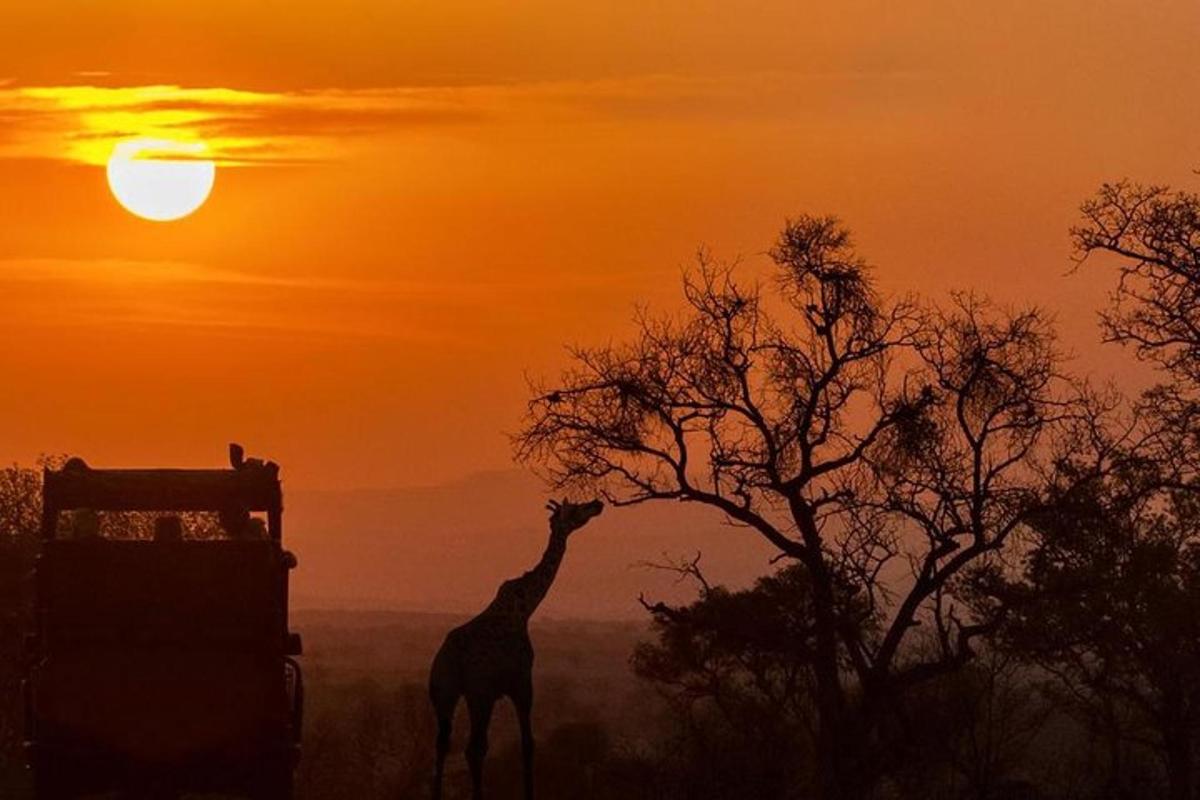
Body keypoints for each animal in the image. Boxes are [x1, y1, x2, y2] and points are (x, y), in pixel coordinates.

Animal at [429, 496, 604, 800]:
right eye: (575, 509)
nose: (597, 503)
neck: (525, 609)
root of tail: (445, 660)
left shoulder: (504, 689)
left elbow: (523, 743)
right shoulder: (522, 682)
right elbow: (528, 744)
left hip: (445, 694)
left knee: (443, 745)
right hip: (479, 694)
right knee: (473, 747)